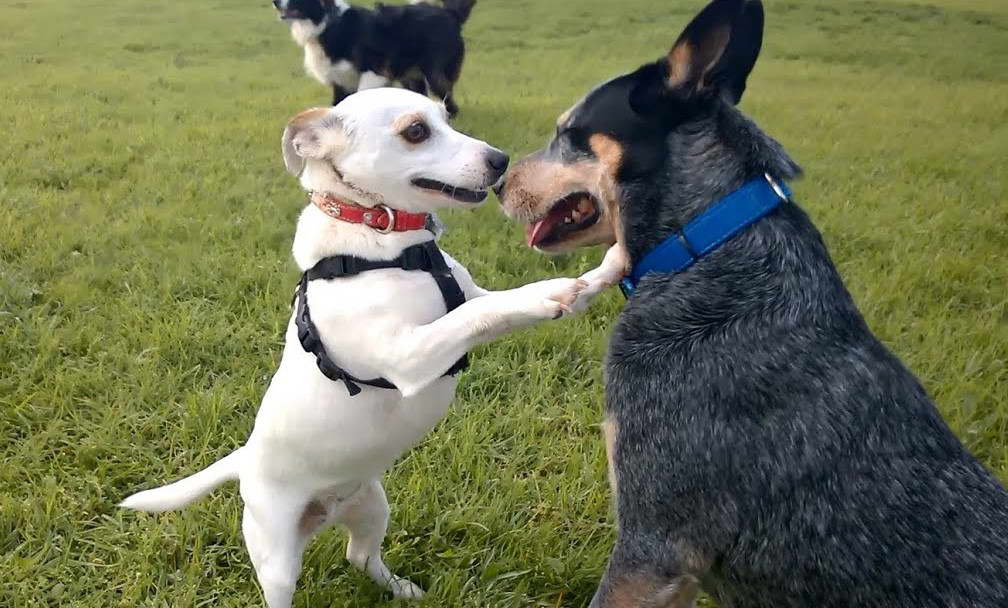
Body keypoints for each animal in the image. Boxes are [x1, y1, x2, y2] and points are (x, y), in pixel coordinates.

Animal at [118, 88, 592, 604]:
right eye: (416, 131)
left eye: (447, 117)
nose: (500, 160)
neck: (385, 241)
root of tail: (245, 460)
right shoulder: (410, 355)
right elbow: (475, 315)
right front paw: (548, 293)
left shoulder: (470, 297)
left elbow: (491, 306)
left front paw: (585, 285)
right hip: (276, 557)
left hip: (372, 507)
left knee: (360, 557)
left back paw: (404, 590)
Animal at [274, 0, 477, 116]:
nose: (275, 2)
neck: (328, 23)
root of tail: (450, 14)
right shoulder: (340, 79)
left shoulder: (375, 70)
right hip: (411, 76)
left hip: (434, 72)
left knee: (449, 101)